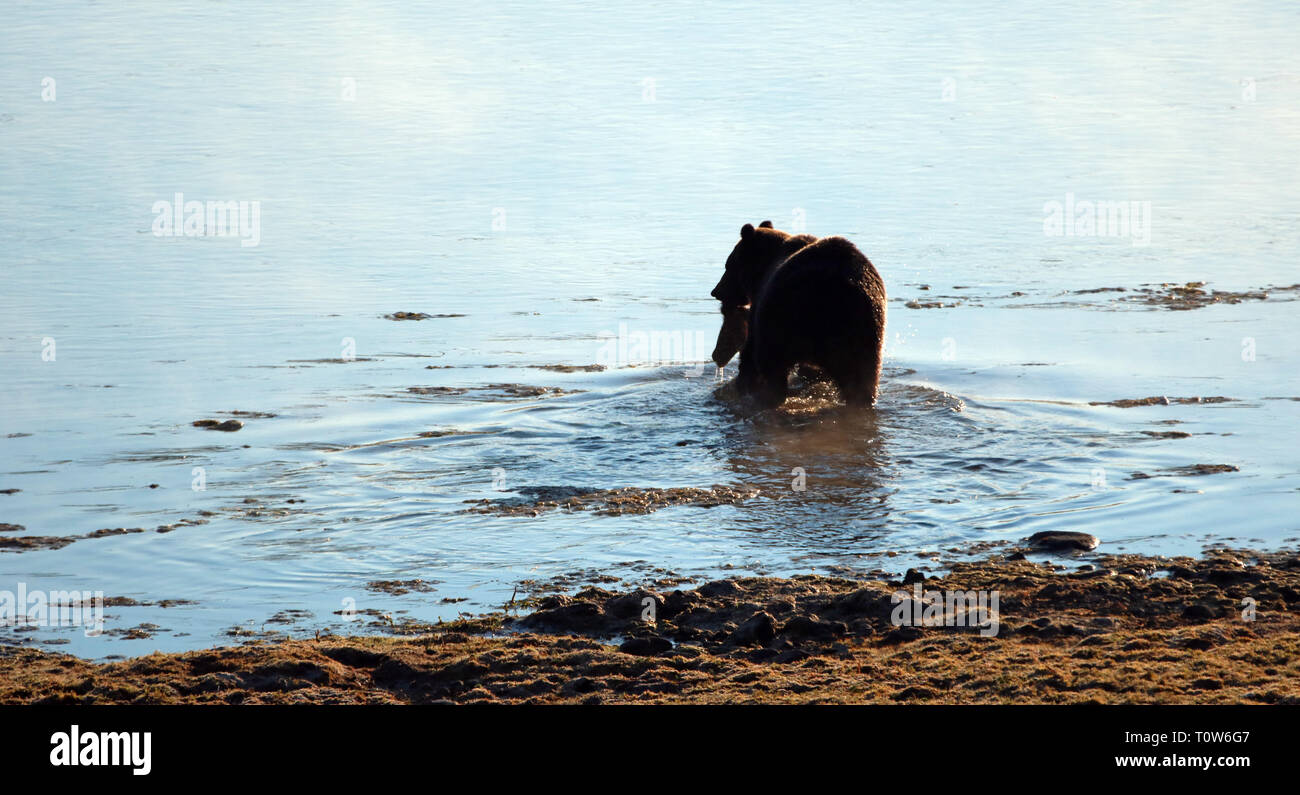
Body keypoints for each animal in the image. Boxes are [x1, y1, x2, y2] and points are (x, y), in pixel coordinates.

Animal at [712, 222, 883, 410]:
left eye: (728, 265)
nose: (716, 291)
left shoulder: (760, 308)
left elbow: (750, 352)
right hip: (864, 330)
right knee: (863, 379)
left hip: (782, 317)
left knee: (772, 367)